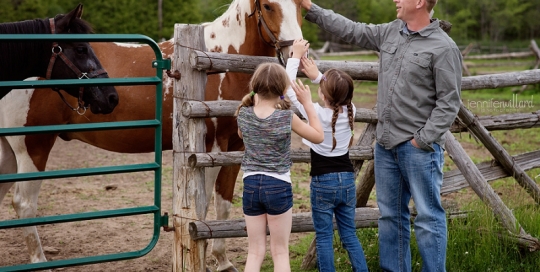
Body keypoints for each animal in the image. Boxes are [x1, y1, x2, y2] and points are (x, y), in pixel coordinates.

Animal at [0, 1, 304, 270]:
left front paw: (223, 262)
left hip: (9, 152)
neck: (221, 60)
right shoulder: (211, 149)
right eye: (268, 6)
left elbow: (224, 204)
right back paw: (40, 262)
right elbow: (204, 206)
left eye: (301, 5)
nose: (294, 53)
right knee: (24, 204)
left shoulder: (237, 147)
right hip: (32, 148)